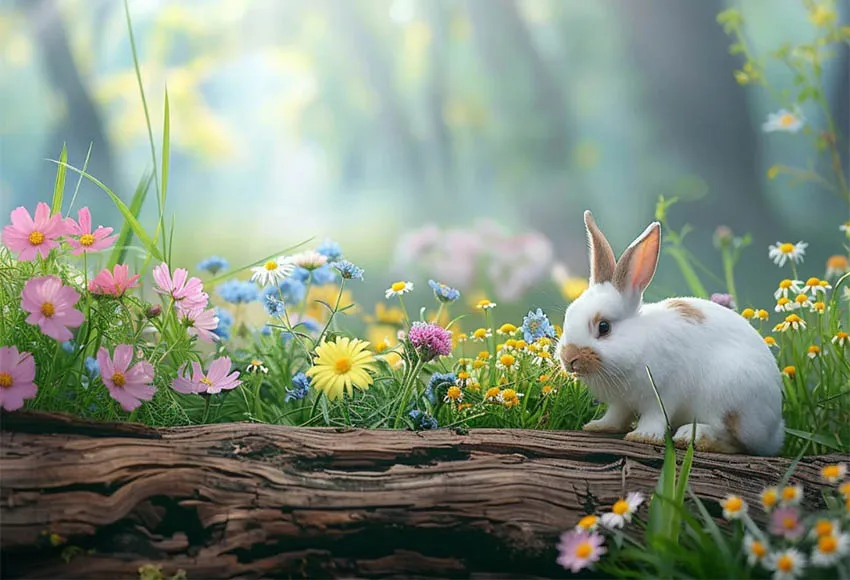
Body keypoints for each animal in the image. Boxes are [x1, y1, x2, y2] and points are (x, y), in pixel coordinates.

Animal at [556, 210, 785, 456]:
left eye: (604, 327)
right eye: (568, 315)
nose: (569, 358)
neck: (639, 343)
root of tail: (775, 432)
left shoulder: (662, 394)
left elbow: (655, 417)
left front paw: (643, 436)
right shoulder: (621, 402)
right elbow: (616, 416)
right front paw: (598, 426)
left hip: (728, 400)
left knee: (733, 441)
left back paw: (692, 437)